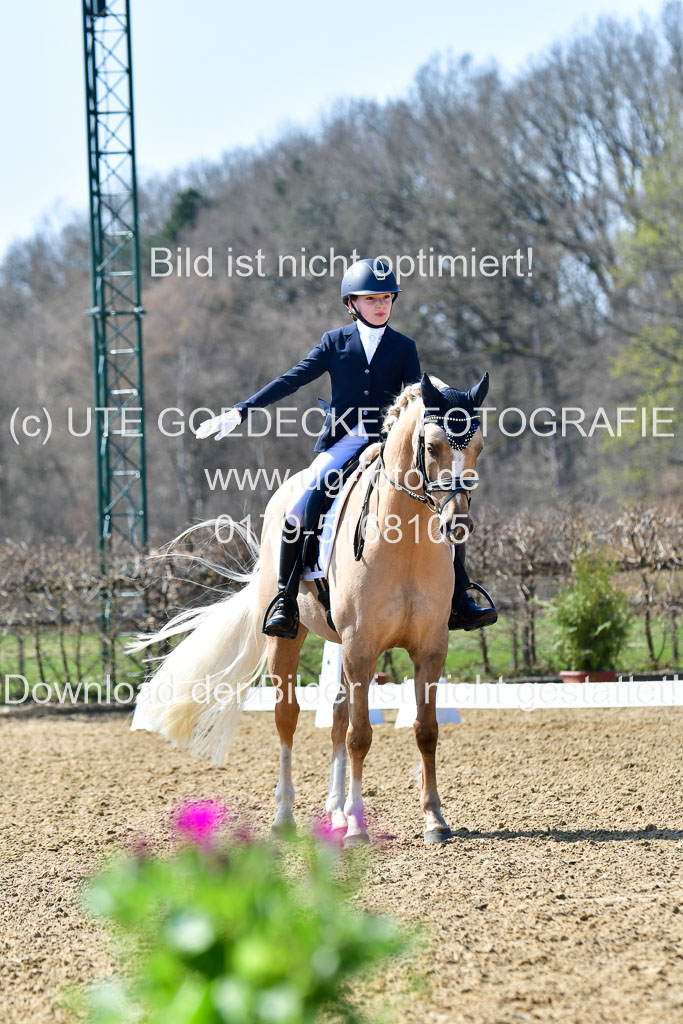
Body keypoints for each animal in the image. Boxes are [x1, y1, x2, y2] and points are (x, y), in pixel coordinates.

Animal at [132, 372, 485, 843]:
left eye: (479, 447)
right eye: (431, 447)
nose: (456, 525)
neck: (405, 542)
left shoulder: (430, 647)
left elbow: (424, 731)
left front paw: (433, 820)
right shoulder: (360, 646)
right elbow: (360, 735)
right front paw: (358, 825)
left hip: (341, 646)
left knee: (335, 717)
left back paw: (334, 813)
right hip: (290, 639)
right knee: (289, 717)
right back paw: (287, 817)